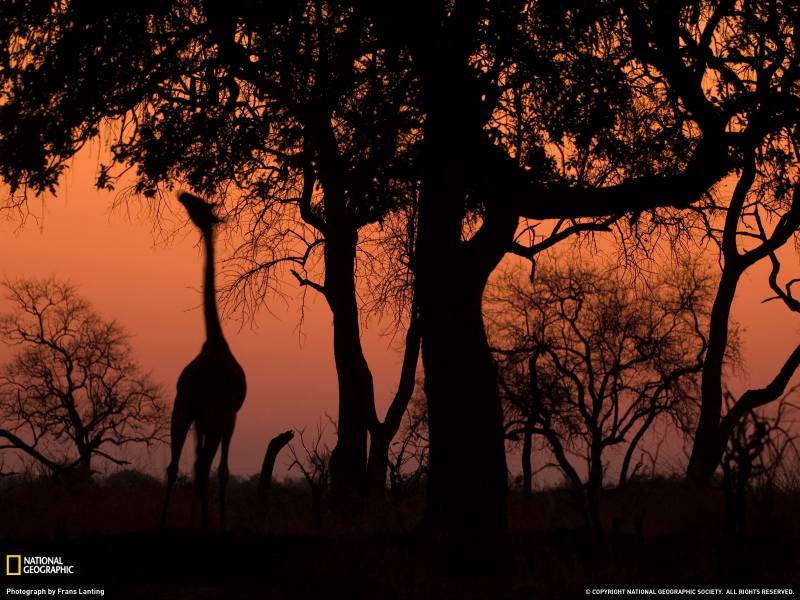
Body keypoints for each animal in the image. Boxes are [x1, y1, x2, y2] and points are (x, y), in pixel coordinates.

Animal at [160, 192, 245, 528]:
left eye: (200, 206)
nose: (183, 195)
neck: (215, 341)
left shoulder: (208, 414)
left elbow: (207, 467)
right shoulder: (226, 414)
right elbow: (220, 471)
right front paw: (216, 524)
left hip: (186, 409)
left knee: (180, 466)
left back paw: (163, 524)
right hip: (203, 414)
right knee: (201, 465)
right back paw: (205, 523)